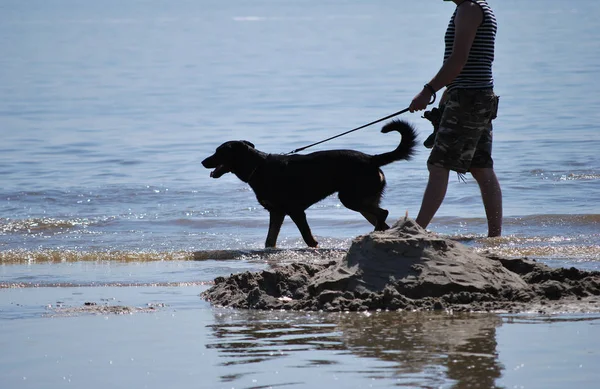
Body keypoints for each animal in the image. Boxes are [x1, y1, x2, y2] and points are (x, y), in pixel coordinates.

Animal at [202, 118, 418, 247]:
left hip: (351, 198)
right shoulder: (277, 212)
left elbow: (307, 237)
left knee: (383, 213)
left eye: (218, 152)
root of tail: (372, 159)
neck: (258, 167)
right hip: (363, 199)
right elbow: (270, 240)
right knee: (382, 219)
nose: (203, 162)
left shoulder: (295, 211)